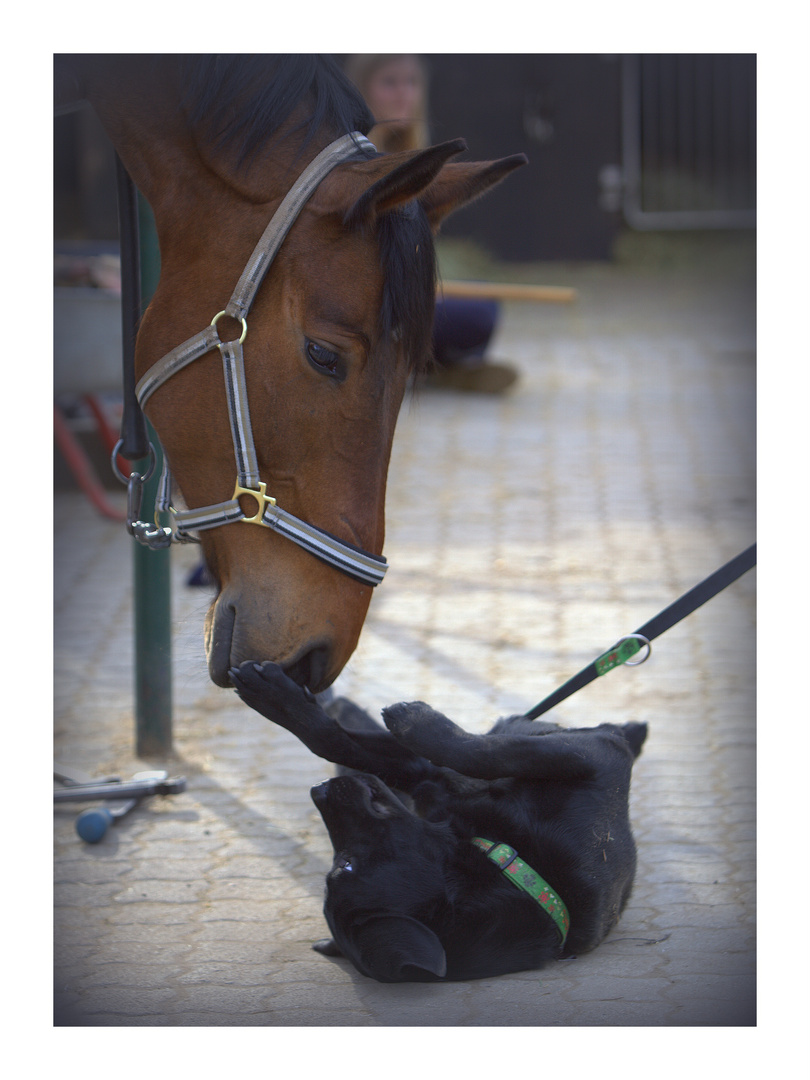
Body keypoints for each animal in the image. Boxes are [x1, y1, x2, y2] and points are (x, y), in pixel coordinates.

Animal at [231, 660, 652, 984]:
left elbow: (481, 751)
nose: (319, 790)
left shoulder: (596, 754)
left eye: (345, 866)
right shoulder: (596, 755)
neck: (514, 859)